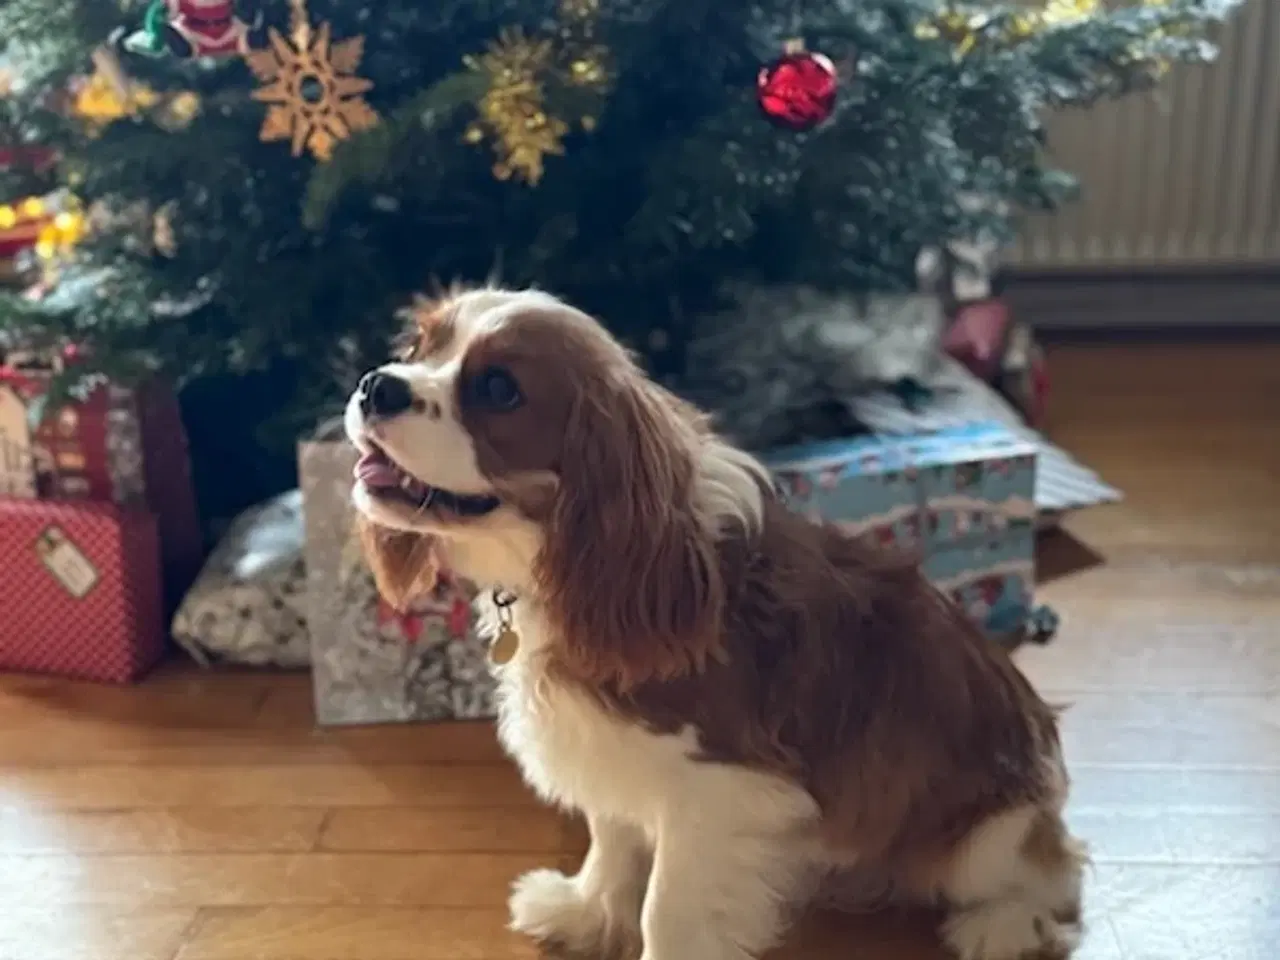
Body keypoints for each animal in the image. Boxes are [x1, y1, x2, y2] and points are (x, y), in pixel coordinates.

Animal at [345, 285, 1085, 960]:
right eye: (419, 348)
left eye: (498, 388)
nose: (377, 384)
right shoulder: (611, 748)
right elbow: (612, 839)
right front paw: (587, 913)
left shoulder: (720, 788)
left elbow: (667, 910)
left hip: (982, 836)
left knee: (1053, 875)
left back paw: (1002, 925)